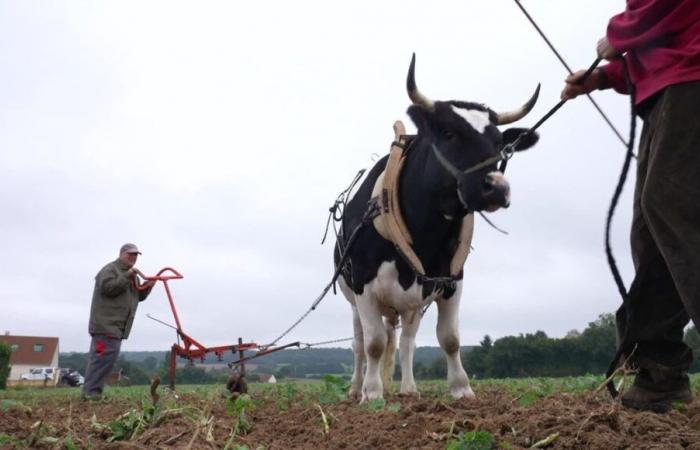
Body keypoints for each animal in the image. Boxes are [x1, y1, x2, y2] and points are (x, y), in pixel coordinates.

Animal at [334, 54, 540, 402]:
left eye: (500, 142)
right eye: (448, 133)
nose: (498, 188)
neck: (424, 234)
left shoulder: (451, 279)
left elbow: (450, 337)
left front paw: (461, 388)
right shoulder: (363, 285)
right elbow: (374, 343)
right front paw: (372, 393)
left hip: (411, 305)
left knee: (406, 342)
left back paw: (409, 389)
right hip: (353, 299)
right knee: (360, 344)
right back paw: (355, 387)